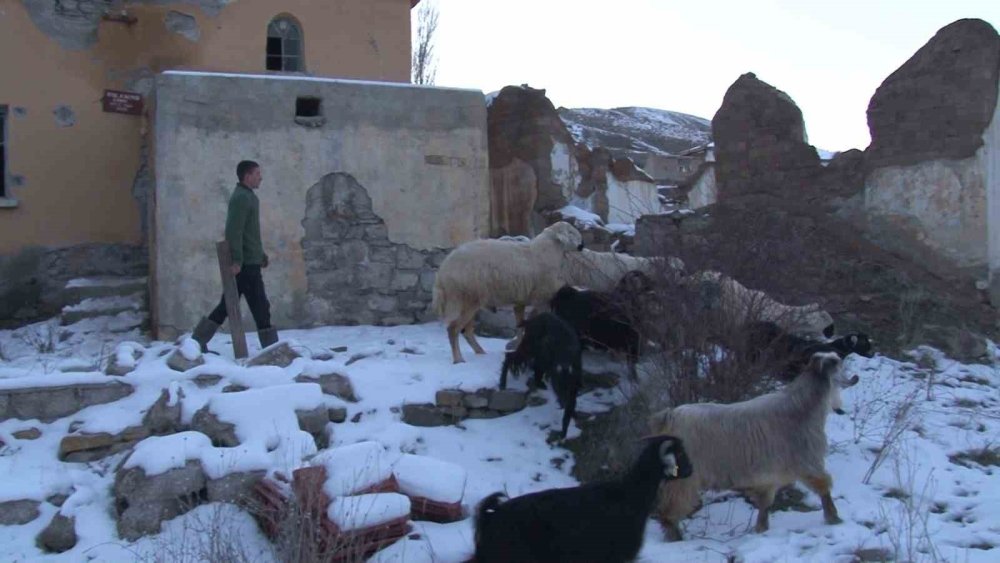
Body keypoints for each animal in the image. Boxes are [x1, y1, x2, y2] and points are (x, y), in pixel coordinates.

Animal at [432, 223, 584, 364]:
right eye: (571, 232)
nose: (582, 246)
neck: (548, 251)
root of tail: (442, 273)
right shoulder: (542, 297)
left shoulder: (521, 300)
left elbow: (521, 325)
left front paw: (518, 347)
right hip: (465, 296)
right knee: (454, 328)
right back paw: (458, 359)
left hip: (471, 299)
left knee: (466, 330)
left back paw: (480, 352)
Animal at [500, 312, 584, 440]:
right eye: (558, 387)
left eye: (568, 387)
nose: (562, 402)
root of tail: (533, 319)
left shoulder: (573, 388)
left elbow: (570, 407)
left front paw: (565, 431)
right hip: (529, 347)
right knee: (510, 357)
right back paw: (502, 383)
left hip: (537, 352)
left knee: (534, 367)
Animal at [652, 352, 856, 540]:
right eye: (837, 365)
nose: (854, 378)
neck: (802, 409)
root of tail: (670, 417)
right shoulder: (807, 461)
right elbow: (823, 486)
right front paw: (834, 517)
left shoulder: (768, 474)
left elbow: (765, 502)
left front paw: (761, 528)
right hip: (682, 478)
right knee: (670, 506)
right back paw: (676, 536)